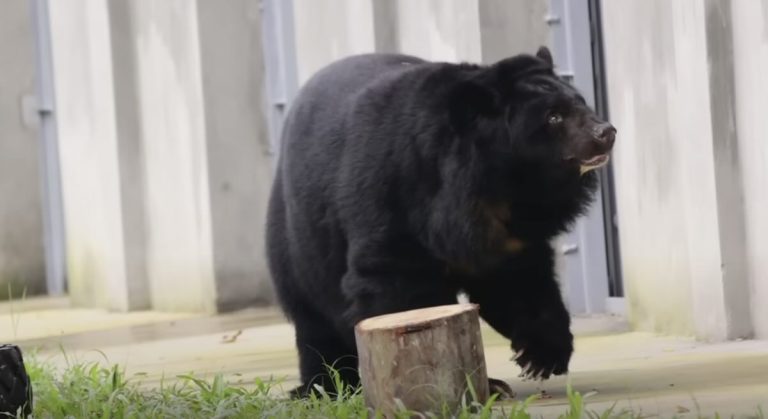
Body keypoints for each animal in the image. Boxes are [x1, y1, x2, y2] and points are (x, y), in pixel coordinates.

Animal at [265, 46, 616, 398]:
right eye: (553, 117)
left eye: (581, 102)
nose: (606, 132)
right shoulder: (396, 193)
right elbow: (396, 283)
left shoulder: (509, 230)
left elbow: (519, 280)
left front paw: (542, 356)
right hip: (300, 243)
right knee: (316, 320)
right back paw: (325, 384)